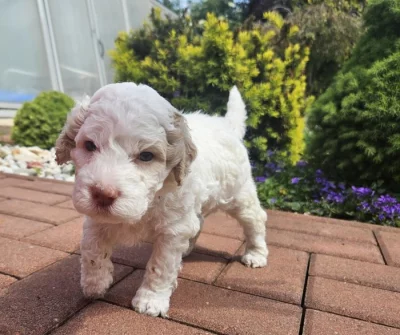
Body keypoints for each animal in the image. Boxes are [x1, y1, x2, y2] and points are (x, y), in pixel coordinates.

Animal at [55, 83, 268, 318]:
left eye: (146, 156)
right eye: (90, 146)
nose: (103, 194)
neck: (151, 200)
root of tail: (226, 125)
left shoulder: (173, 230)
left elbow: (161, 266)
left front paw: (151, 301)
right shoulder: (96, 219)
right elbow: (91, 248)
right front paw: (95, 284)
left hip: (239, 194)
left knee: (255, 219)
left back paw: (256, 254)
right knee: (199, 222)